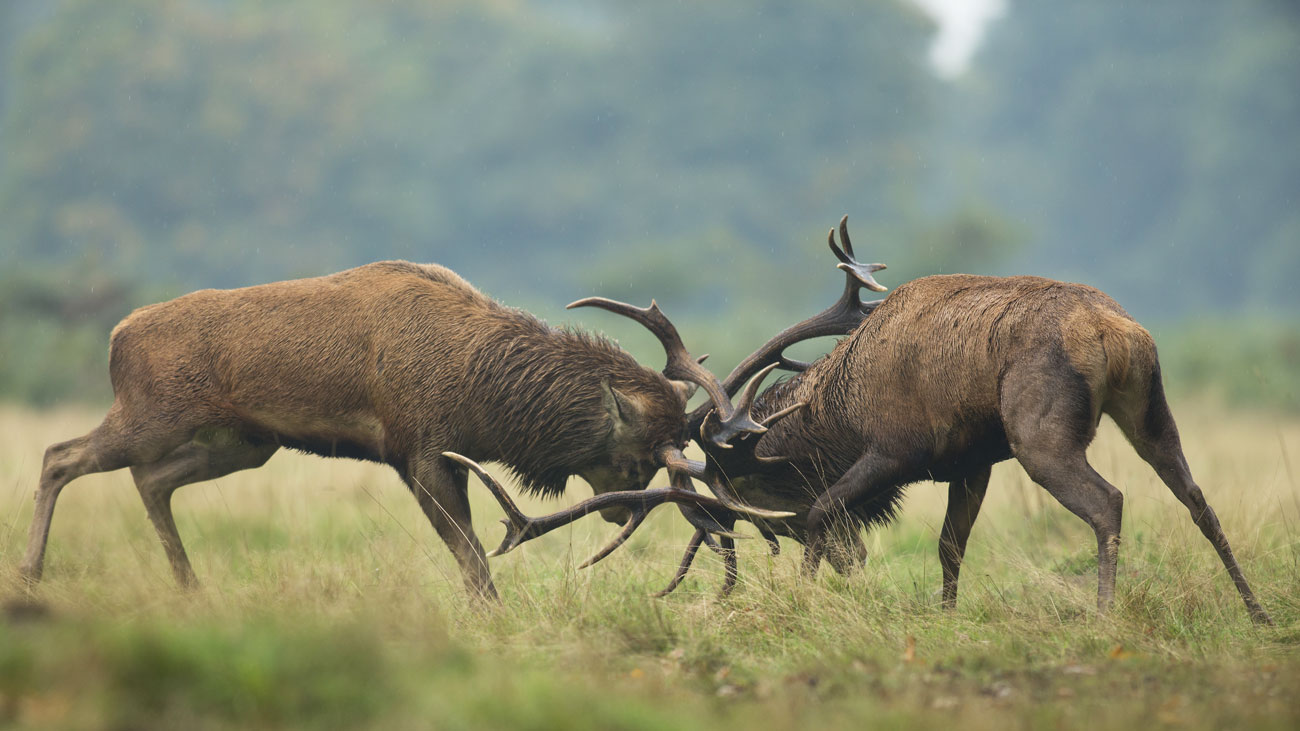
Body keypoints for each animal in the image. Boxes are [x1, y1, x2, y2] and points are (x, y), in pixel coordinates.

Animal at [17, 260, 791, 600]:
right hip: (151, 414)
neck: (485, 392)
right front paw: (489, 617)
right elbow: (472, 555)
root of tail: (115, 336)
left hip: (244, 443)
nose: (619, 511)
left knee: (150, 480)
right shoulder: (418, 448)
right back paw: (29, 572)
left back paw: (189, 586)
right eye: (633, 458)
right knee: (61, 454)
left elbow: (469, 552)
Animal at [481, 218, 1272, 624]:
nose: (845, 558)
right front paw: (945, 617)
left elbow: (827, 507)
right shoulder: (971, 461)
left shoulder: (897, 448)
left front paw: (806, 595)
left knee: (1109, 501)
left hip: (1041, 432)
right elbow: (951, 545)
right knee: (1195, 496)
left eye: (753, 487)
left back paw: (1105, 614)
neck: (840, 407)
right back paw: (1257, 610)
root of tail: (1116, 331)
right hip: (1151, 408)